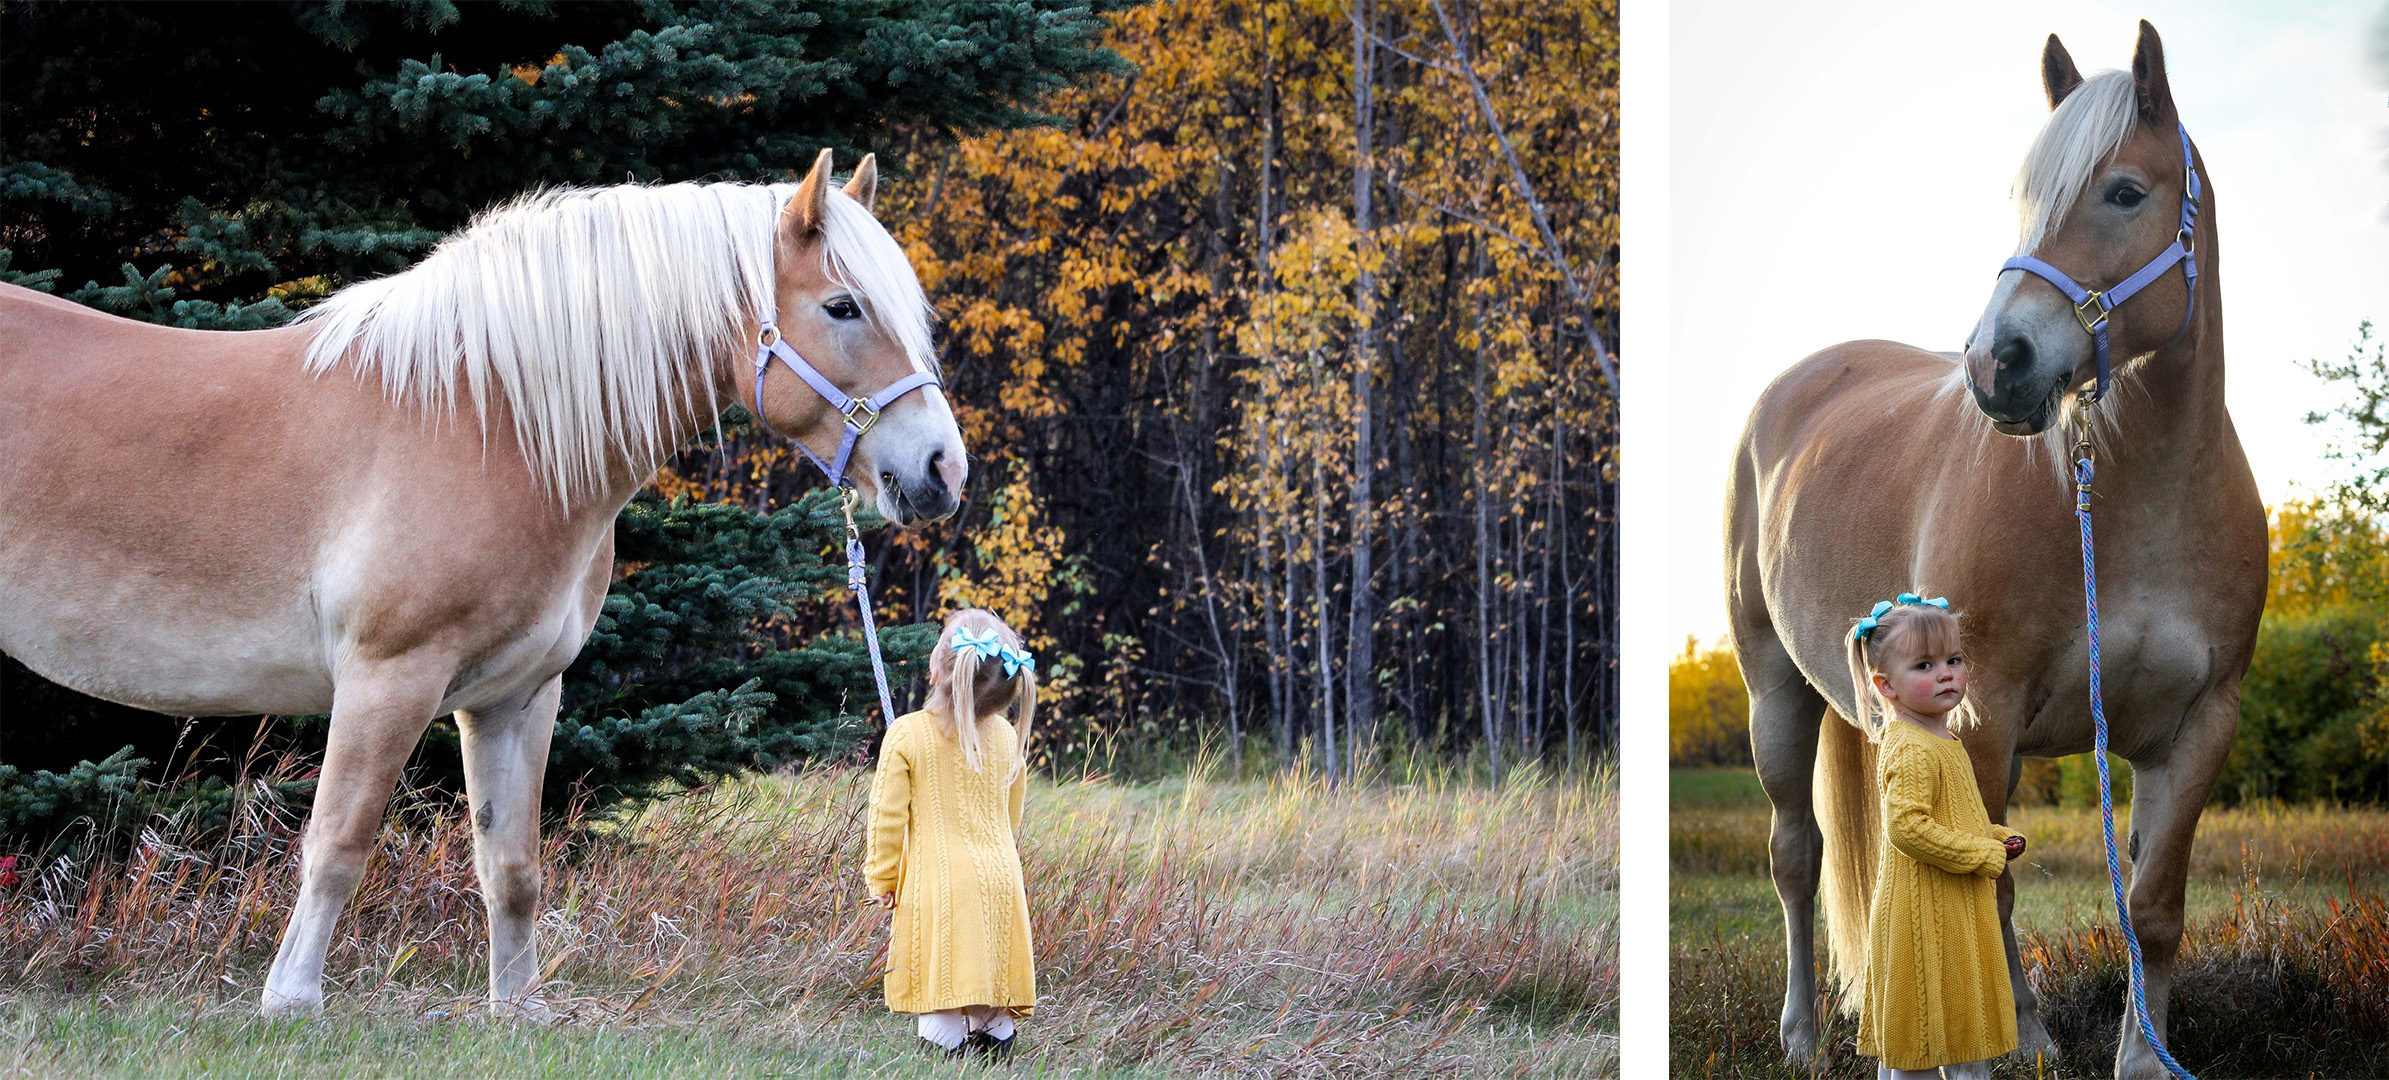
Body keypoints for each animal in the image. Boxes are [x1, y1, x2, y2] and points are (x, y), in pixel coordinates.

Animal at [0, 149, 969, 1013]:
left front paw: (516, 1008)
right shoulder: (388, 680)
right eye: (843, 305)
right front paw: (292, 1002)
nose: (941, 471)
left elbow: (511, 865)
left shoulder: (519, 694)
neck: (482, 422)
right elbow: (339, 841)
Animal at [1739, 21, 2255, 1075]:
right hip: (1775, 693)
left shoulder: (2196, 730)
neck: (2138, 504)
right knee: (1796, 858)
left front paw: (2140, 1057)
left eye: (2125, 192)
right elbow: (1983, 889)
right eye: (2021, 197)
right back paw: (1806, 1033)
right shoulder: (1980, 716)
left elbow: (2151, 906)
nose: (1994, 363)